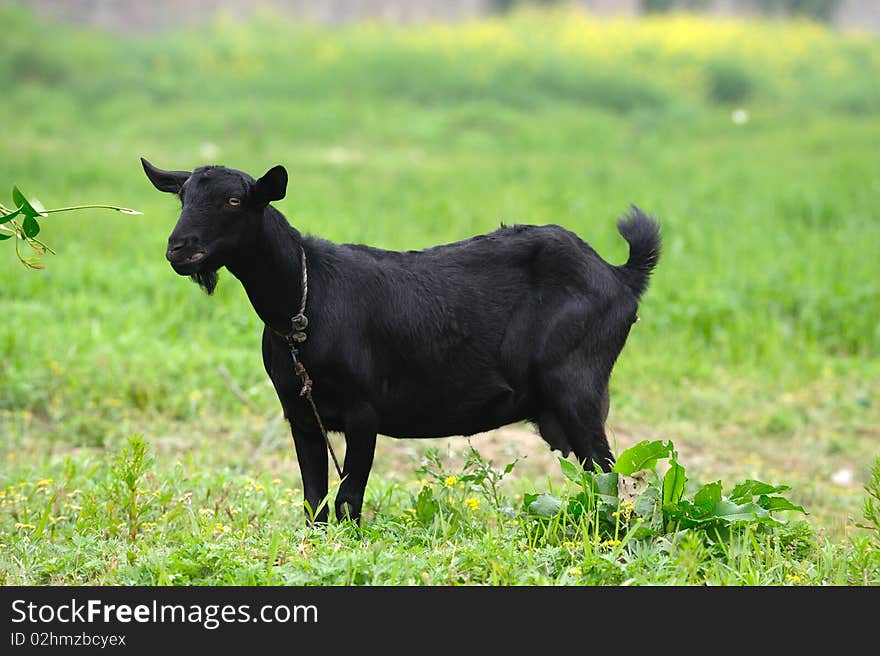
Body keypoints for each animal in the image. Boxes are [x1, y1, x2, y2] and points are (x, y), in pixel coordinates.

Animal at [141, 159, 660, 524]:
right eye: (182, 196)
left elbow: (349, 500)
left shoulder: (364, 411)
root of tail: (620, 275)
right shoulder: (301, 412)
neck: (305, 301)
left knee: (611, 478)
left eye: (233, 200)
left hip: (578, 387)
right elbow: (314, 500)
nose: (179, 249)